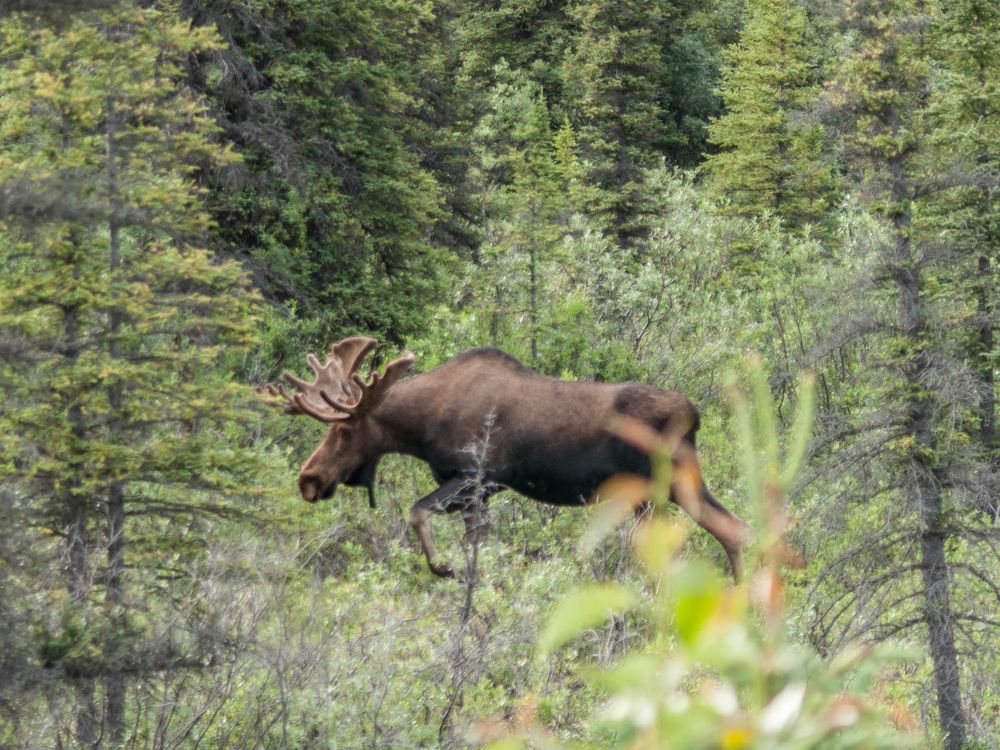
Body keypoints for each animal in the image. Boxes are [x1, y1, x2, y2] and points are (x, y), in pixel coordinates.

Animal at [262, 340, 748, 580]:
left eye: (342, 430)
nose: (308, 479)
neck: (421, 426)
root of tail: (694, 414)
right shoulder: (476, 491)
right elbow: (478, 543)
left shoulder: (480, 477)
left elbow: (416, 511)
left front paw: (443, 567)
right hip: (680, 484)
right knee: (734, 528)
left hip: (651, 491)